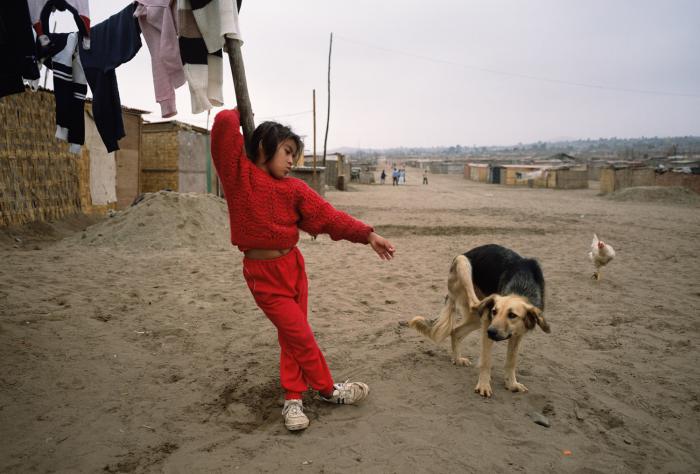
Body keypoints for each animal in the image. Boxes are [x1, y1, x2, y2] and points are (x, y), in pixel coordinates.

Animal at [408, 244, 548, 396]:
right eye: (495, 311)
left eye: (512, 315)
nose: (491, 332)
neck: (522, 285)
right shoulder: (488, 323)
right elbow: (486, 361)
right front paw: (484, 385)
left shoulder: (517, 334)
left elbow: (511, 361)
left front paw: (511, 384)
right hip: (463, 263)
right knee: (473, 303)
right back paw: (487, 300)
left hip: (477, 318)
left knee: (456, 331)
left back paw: (457, 359)